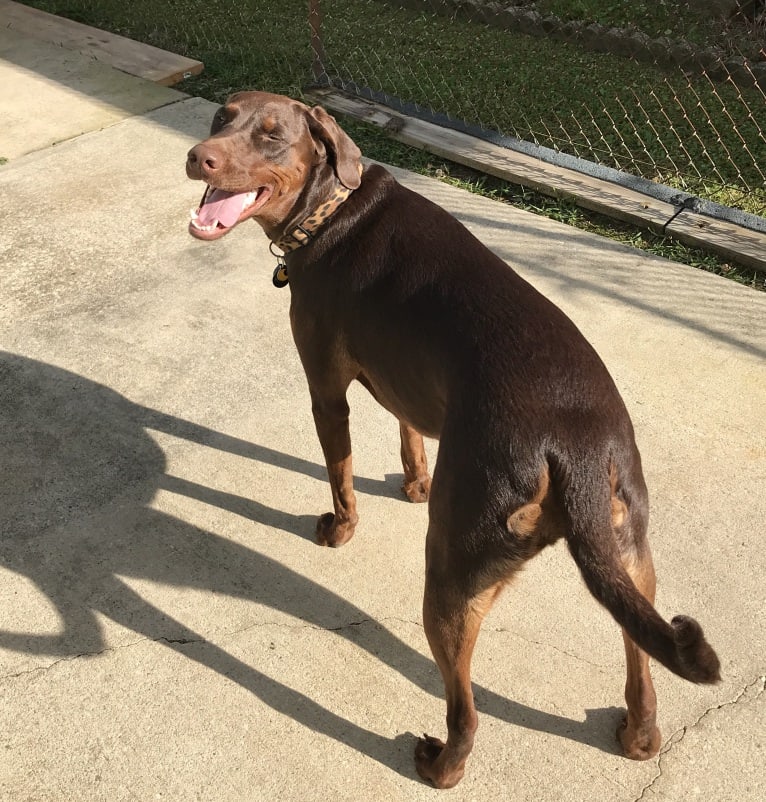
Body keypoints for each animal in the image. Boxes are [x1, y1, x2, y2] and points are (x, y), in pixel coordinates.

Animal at [186, 92, 720, 788]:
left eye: (273, 136)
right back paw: (638, 735)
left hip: (453, 570)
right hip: (628, 552)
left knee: (466, 710)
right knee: (642, 658)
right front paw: (414, 483)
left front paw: (340, 529)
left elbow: (340, 473)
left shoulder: (326, 389)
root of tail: (574, 445)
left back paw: (439, 765)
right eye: (222, 117)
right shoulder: (406, 381)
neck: (334, 211)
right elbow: (409, 432)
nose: (198, 157)